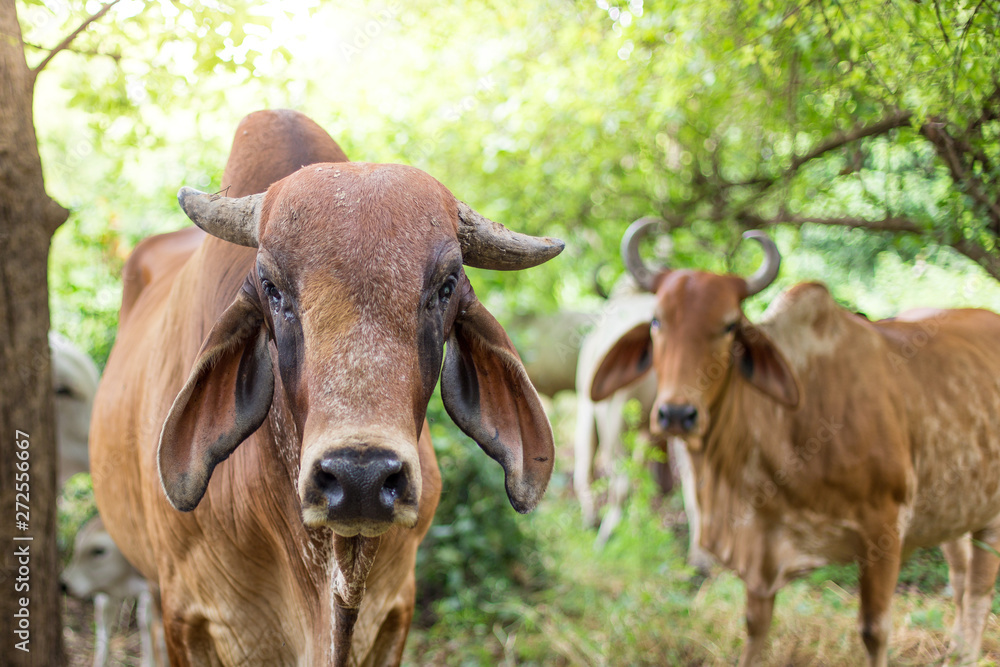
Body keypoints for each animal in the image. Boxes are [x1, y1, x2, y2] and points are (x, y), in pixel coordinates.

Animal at [61, 516, 166, 667]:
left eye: (99, 550)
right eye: (77, 549)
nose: (64, 585)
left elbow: (149, 623)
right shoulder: (105, 593)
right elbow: (104, 623)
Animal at [590, 218, 1000, 666]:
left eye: (730, 325)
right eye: (656, 322)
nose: (678, 414)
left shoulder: (884, 531)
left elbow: (874, 630)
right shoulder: (761, 545)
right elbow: (755, 627)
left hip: (989, 514)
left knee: (978, 590)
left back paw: (967, 652)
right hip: (953, 510)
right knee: (960, 575)